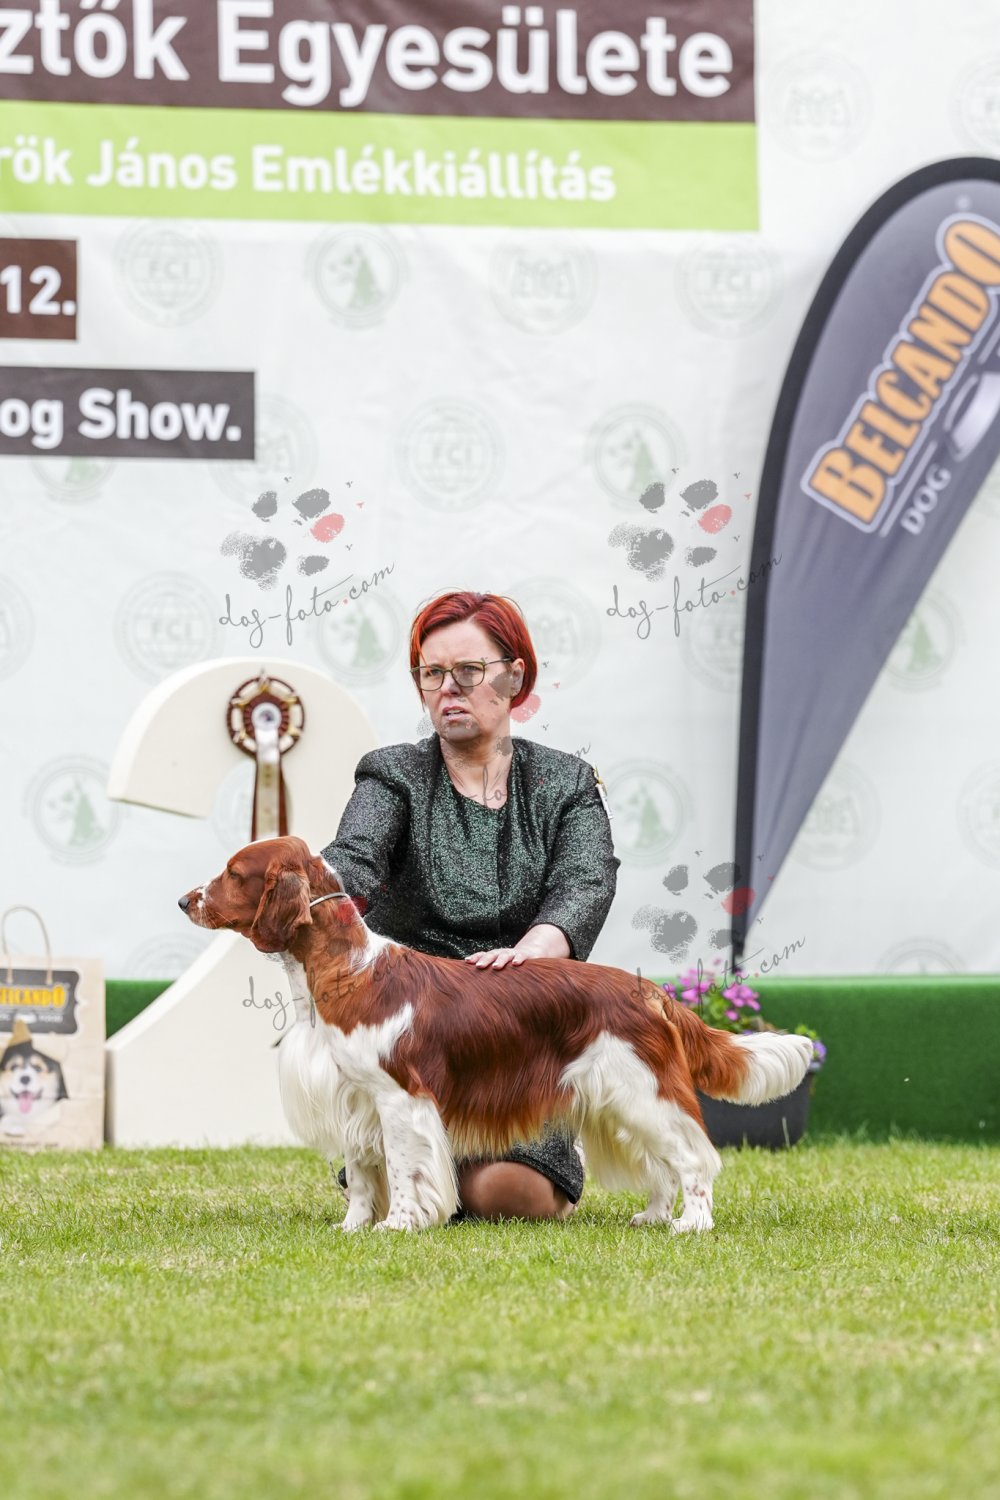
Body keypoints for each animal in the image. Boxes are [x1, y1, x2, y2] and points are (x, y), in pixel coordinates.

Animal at [179, 836, 812, 1232]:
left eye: (234, 872)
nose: (185, 899)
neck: (344, 971)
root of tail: (649, 991)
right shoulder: (354, 1097)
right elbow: (361, 1177)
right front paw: (353, 1227)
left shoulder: (399, 1098)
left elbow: (405, 1170)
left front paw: (398, 1225)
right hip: (619, 1099)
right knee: (660, 1165)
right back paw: (655, 1216)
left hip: (643, 1091)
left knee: (693, 1160)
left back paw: (692, 1223)